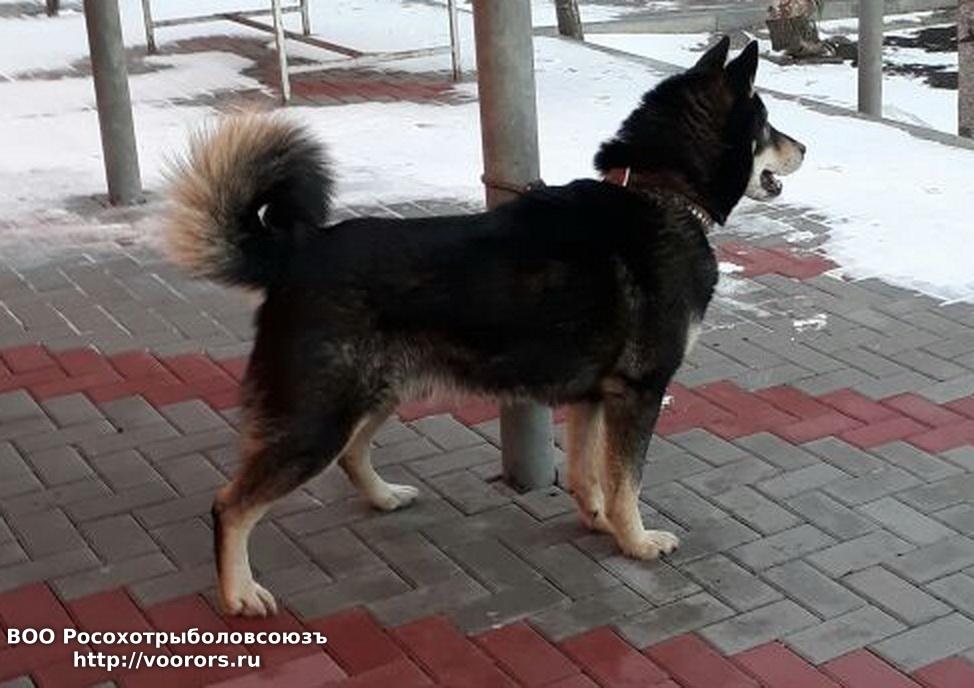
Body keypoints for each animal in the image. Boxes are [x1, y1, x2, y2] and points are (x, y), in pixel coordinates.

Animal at [165, 37, 805, 616]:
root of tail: (294, 252)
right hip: (317, 419)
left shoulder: (594, 397)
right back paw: (239, 593)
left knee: (350, 456)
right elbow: (627, 481)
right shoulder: (639, 393)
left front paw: (598, 522)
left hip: (375, 395)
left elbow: (588, 474)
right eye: (767, 123)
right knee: (230, 505)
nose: (803, 145)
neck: (660, 192)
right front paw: (637, 541)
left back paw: (384, 497)